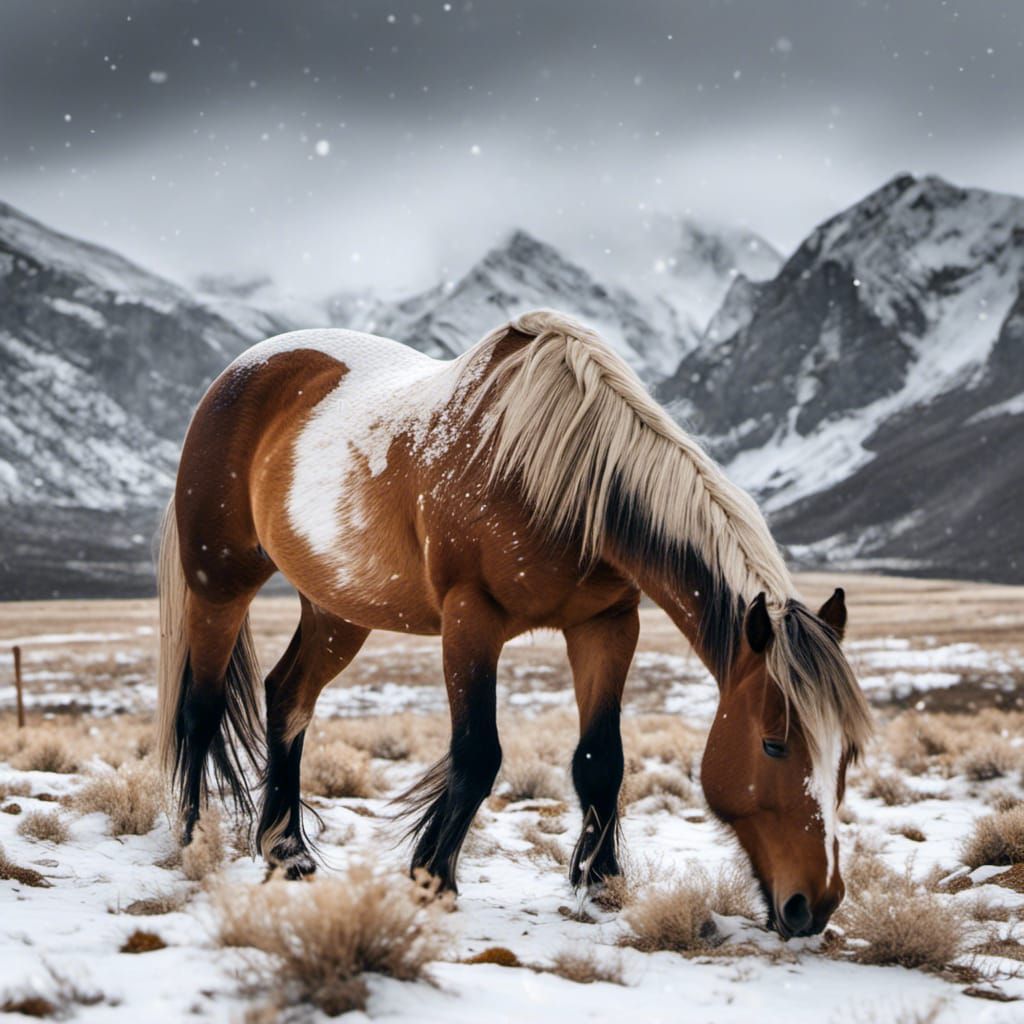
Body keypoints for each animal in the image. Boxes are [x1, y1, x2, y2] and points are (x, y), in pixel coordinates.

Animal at [156, 308, 872, 938]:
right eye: (774, 744)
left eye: (849, 755)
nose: (816, 905)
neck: (560, 473)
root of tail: (239, 372)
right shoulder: (470, 619)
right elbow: (478, 754)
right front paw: (432, 878)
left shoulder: (608, 625)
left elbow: (601, 760)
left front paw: (600, 883)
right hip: (220, 585)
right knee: (201, 707)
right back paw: (192, 840)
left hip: (336, 610)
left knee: (287, 700)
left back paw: (288, 851)